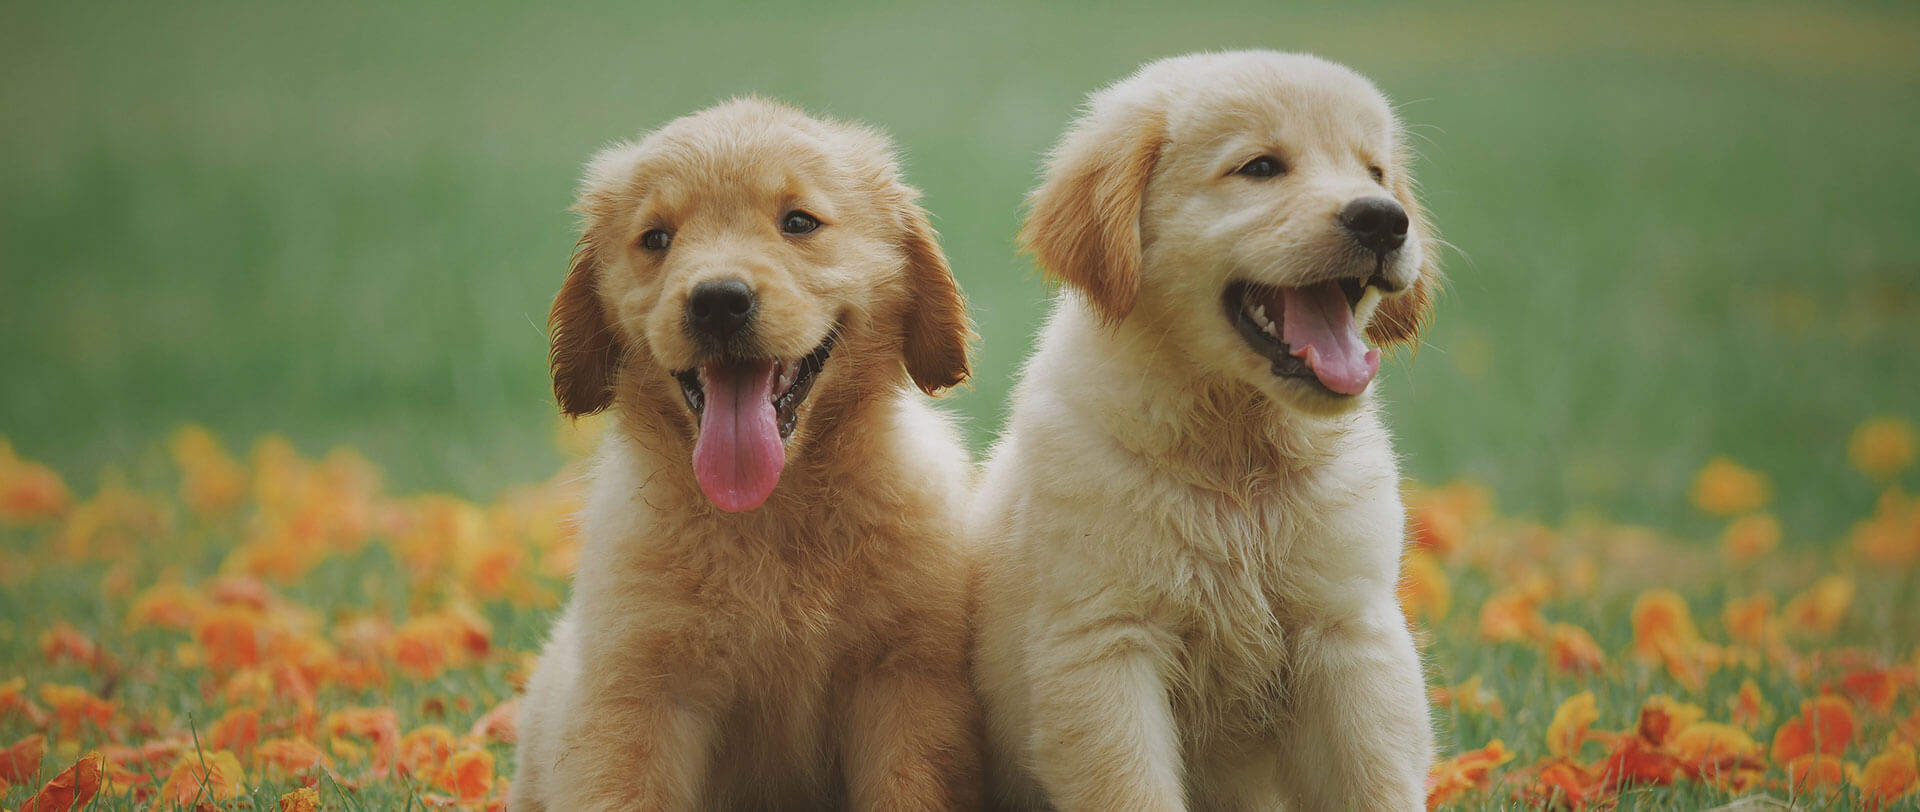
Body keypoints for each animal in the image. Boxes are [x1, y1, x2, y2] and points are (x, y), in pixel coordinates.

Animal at [510, 98, 983, 810]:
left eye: (799, 223)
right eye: (657, 238)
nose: (718, 302)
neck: (768, 514)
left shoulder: (904, 681)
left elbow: (906, 789)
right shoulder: (640, 695)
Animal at [975, 52, 1443, 812]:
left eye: (1374, 172)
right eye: (1260, 167)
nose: (1383, 220)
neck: (1235, 453)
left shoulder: (1350, 634)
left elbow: (1374, 781)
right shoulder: (1105, 643)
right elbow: (1130, 788)